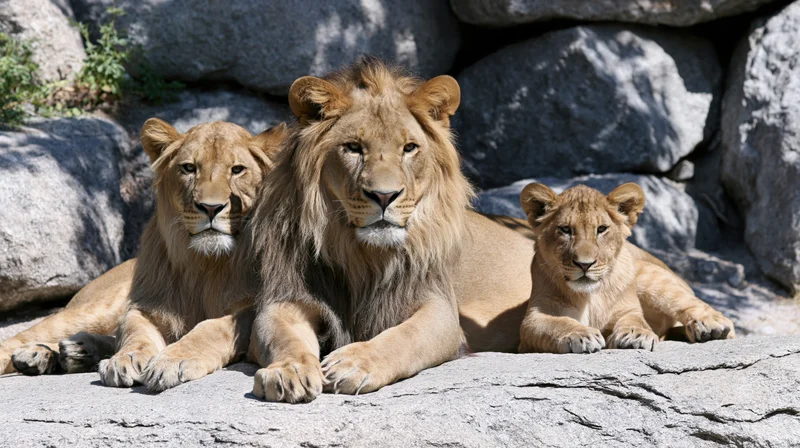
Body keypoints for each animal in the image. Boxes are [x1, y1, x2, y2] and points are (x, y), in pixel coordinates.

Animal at [1, 119, 286, 392]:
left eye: (237, 170)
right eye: (189, 168)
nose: (210, 208)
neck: (204, 263)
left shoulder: (251, 309)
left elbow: (212, 328)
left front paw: (173, 360)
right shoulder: (147, 306)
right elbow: (134, 332)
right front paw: (126, 359)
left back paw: (70, 352)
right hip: (97, 309)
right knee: (21, 337)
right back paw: (42, 353)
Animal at [243, 57, 535, 403]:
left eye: (409, 148)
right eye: (353, 147)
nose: (384, 196)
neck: (363, 255)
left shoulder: (440, 309)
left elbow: (406, 336)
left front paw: (356, 362)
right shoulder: (285, 300)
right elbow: (283, 337)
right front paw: (289, 370)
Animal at [517, 182, 735, 354]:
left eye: (601, 229)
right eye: (565, 230)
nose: (584, 264)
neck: (590, 296)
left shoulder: (628, 309)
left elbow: (635, 320)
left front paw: (636, 335)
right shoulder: (532, 321)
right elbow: (556, 323)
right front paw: (581, 334)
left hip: (650, 278)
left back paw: (711, 327)